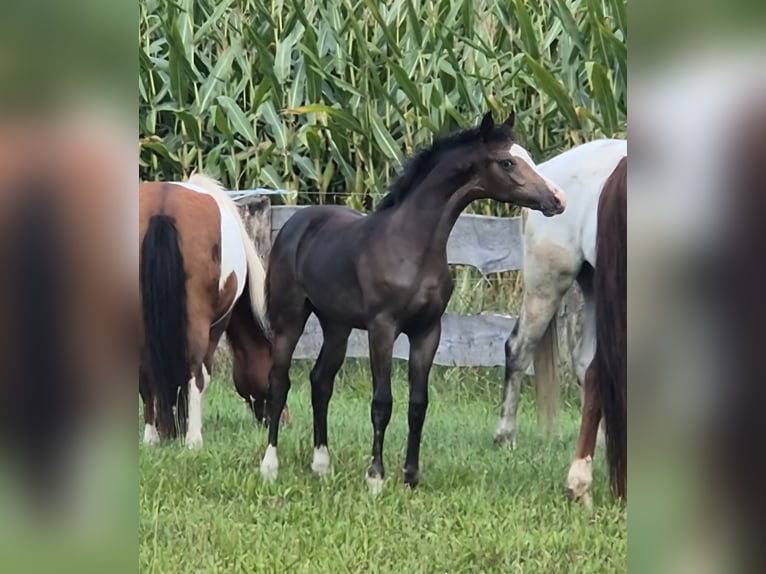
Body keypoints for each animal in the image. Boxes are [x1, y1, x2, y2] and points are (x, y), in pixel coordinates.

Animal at [140, 173, 284, 448]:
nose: (282, 420)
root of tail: (163, 209)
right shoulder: (218, 323)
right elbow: (202, 376)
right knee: (195, 373)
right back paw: (193, 440)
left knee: (147, 375)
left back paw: (151, 437)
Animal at [260, 113, 568, 496]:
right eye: (507, 162)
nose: (557, 199)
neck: (410, 245)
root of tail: (295, 223)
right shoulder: (382, 328)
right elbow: (382, 402)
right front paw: (375, 477)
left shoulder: (427, 331)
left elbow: (418, 404)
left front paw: (411, 476)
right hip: (290, 319)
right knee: (279, 381)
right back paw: (270, 466)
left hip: (337, 326)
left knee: (320, 382)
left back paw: (321, 465)